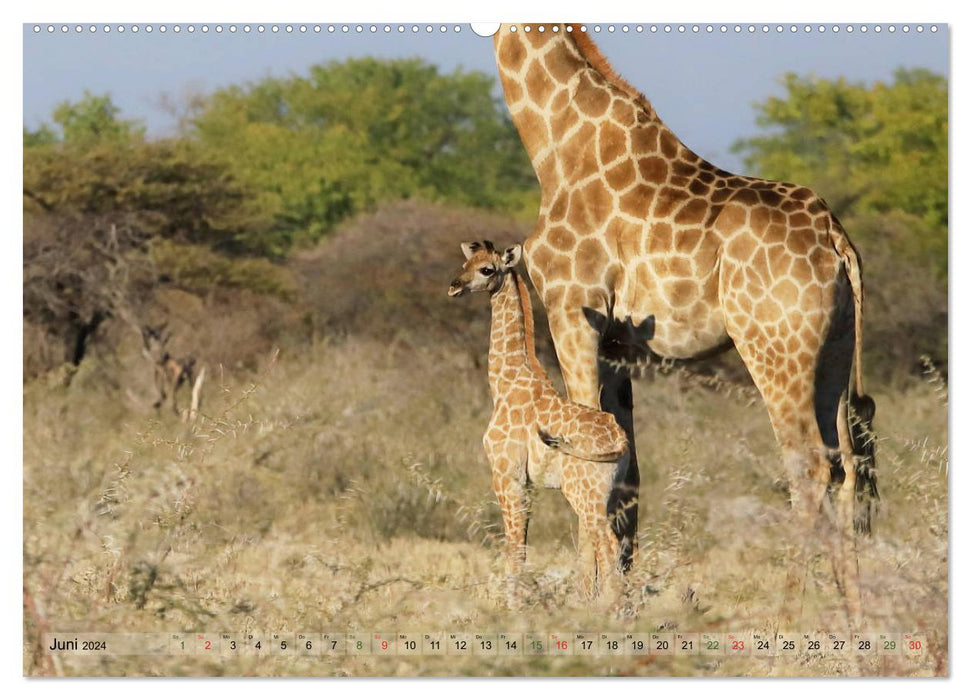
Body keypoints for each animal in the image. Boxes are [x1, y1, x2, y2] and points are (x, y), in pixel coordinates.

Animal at [448, 242, 632, 600]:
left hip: (583, 492)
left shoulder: (505, 476)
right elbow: (522, 544)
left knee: (608, 542)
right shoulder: (528, 484)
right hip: (607, 493)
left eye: (487, 270)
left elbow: (513, 548)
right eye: (465, 262)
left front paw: (513, 604)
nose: (454, 286)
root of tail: (622, 441)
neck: (505, 383)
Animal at [490, 24, 876, 620]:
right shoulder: (616, 343)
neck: (556, 147)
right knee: (846, 463)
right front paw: (618, 599)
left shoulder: (571, 310)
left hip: (773, 347)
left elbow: (583, 454)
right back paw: (854, 616)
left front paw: (586, 600)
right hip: (835, 350)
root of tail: (836, 239)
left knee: (809, 464)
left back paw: (785, 613)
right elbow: (625, 468)